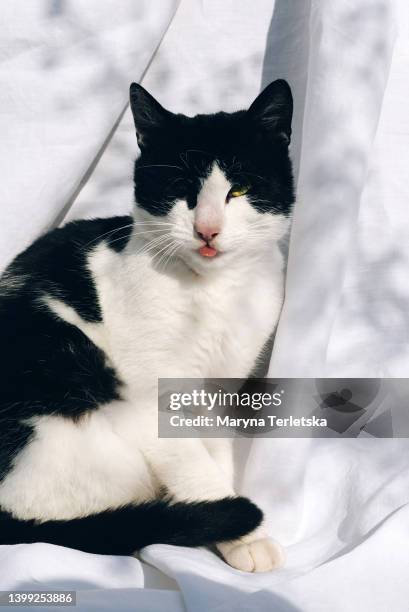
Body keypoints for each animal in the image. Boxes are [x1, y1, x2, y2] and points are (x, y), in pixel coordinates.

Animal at [0, 79, 294, 572]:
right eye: (180, 188)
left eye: (239, 189)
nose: (207, 229)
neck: (214, 294)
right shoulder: (148, 401)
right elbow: (195, 466)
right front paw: (242, 532)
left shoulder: (216, 393)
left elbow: (216, 455)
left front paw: (228, 533)